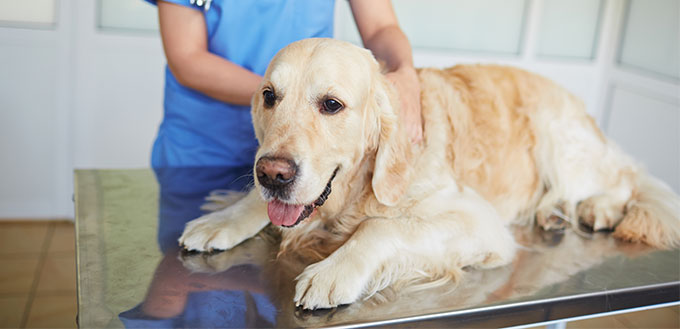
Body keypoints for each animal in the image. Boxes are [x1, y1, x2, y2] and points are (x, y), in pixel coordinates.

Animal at [179, 38, 680, 310]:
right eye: (269, 96)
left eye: (331, 104)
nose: (273, 173)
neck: (355, 190)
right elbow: (256, 207)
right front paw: (222, 218)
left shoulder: (477, 221)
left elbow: (381, 229)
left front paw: (332, 270)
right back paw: (554, 212)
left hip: (558, 136)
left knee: (626, 178)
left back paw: (596, 208)